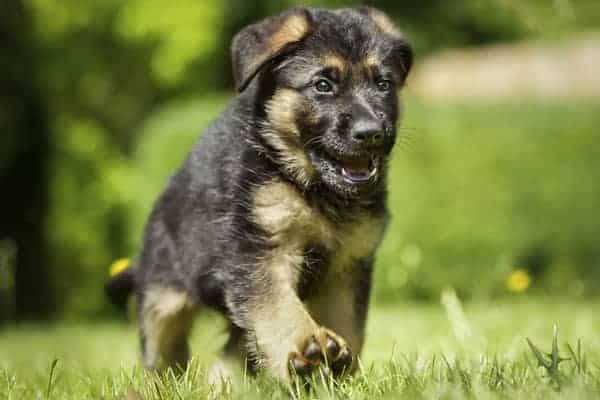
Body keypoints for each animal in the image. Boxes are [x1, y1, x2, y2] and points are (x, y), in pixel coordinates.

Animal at [105, 5, 410, 382]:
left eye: (383, 84)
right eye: (323, 85)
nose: (370, 133)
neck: (312, 188)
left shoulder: (347, 266)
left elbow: (348, 324)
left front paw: (339, 370)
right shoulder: (260, 250)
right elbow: (278, 307)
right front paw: (307, 347)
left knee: (236, 349)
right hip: (162, 297)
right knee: (163, 349)